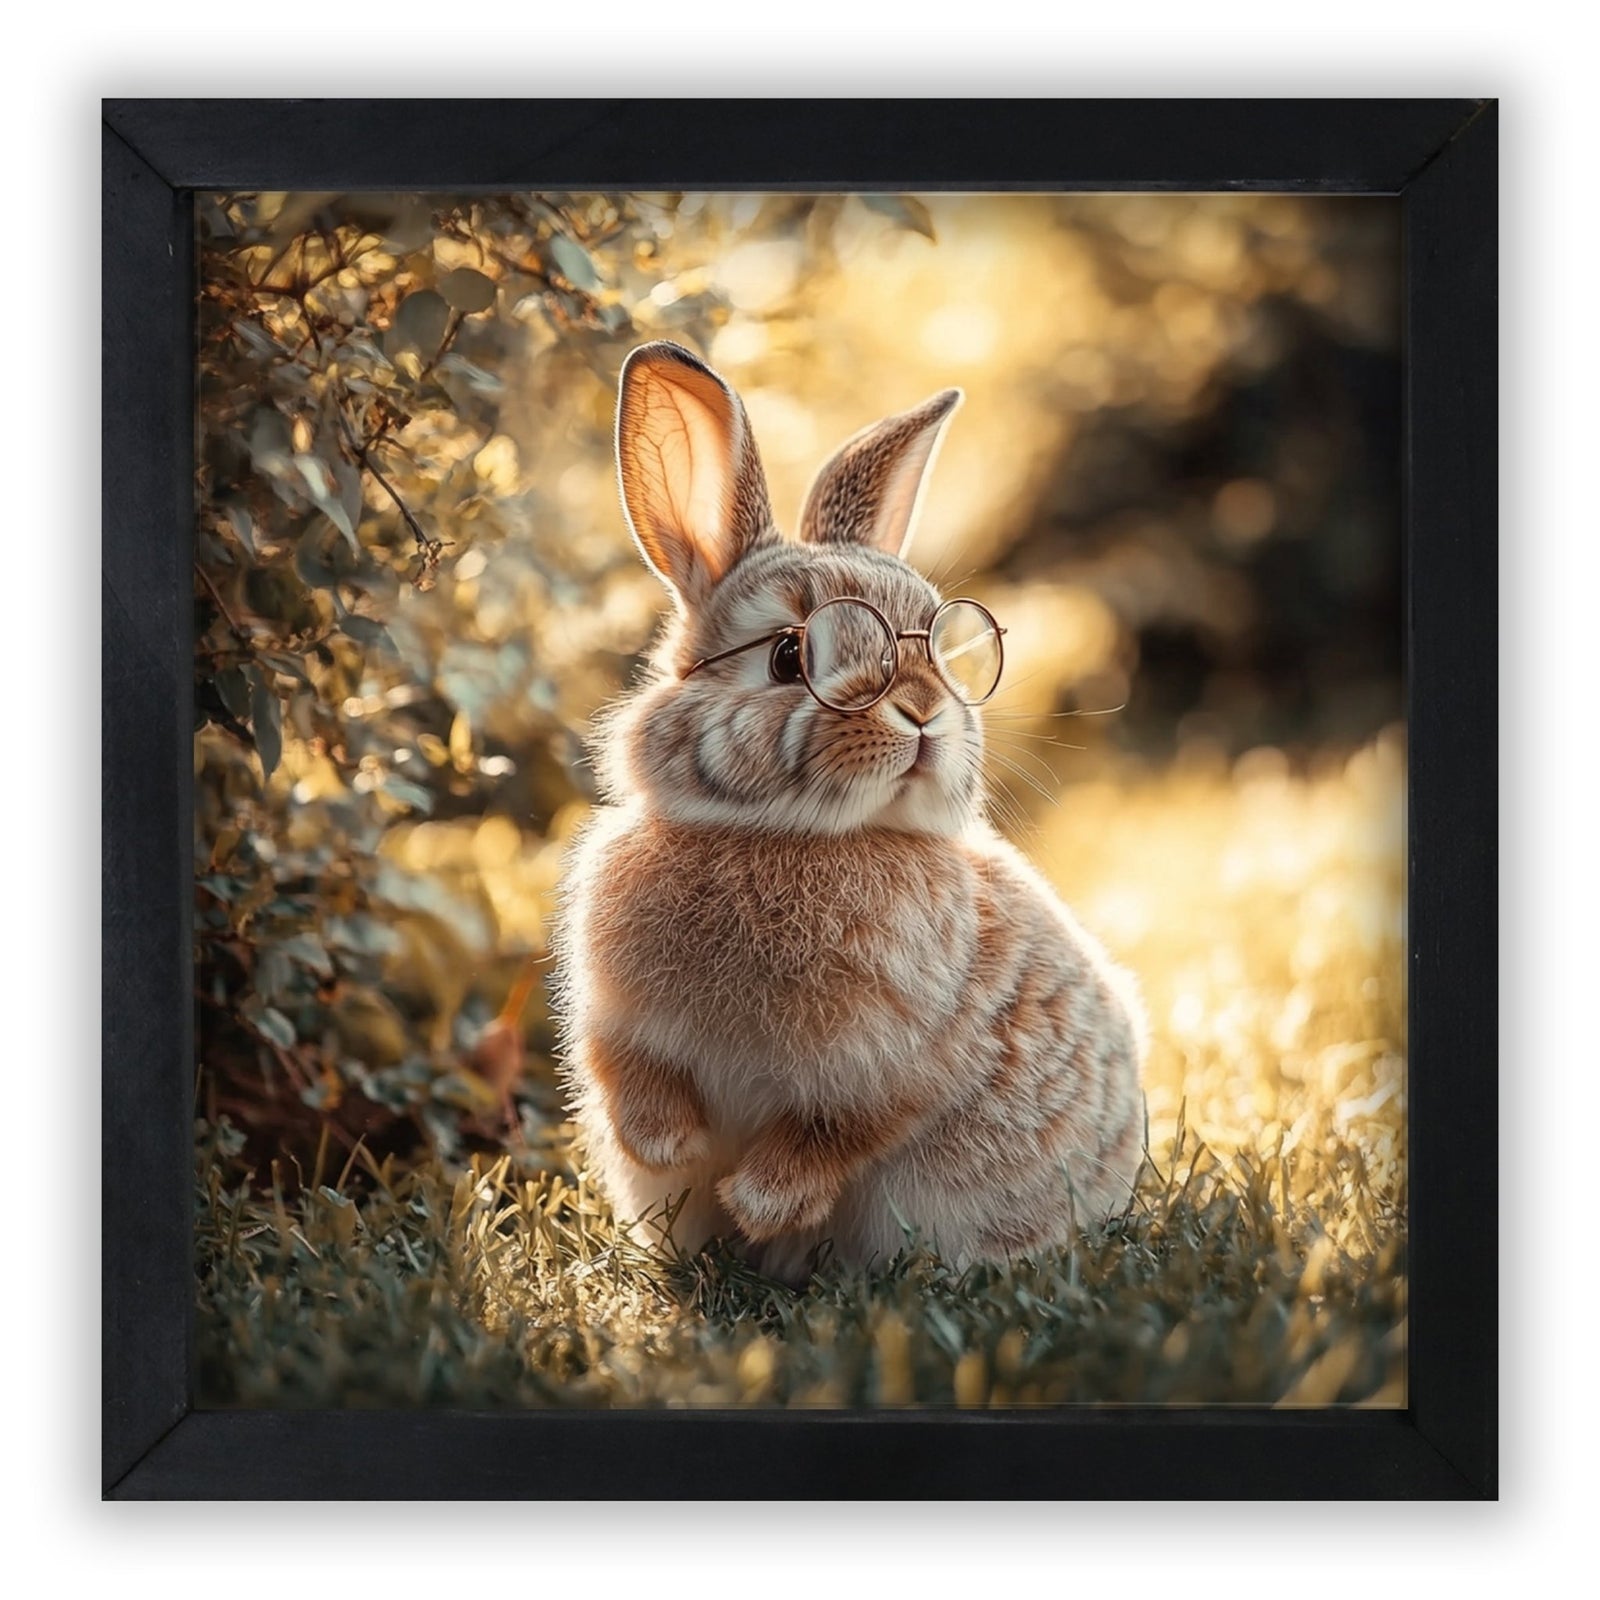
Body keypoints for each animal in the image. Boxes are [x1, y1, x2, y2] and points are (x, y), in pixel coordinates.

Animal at [552, 340, 1146, 1286]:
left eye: (936, 643)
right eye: (789, 655)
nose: (924, 712)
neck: (786, 837)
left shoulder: (910, 1061)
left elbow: (840, 1132)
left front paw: (760, 1204)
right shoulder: (613, 1021)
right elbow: (628, 1077)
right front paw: (668, 1145)